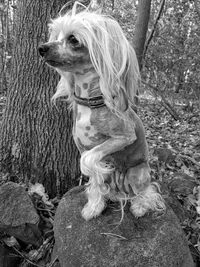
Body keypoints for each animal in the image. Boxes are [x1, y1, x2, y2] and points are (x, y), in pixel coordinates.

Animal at [38, 2, 165, 222]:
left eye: (73, 39)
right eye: (57, 35)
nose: (41, 48)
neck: (89, 103)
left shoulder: (123, 137)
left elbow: (88, 161)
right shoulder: (83, 146)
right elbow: (95, 180)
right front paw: (94, 207)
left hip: (138, 173)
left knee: (145, 191)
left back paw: (140, 205)